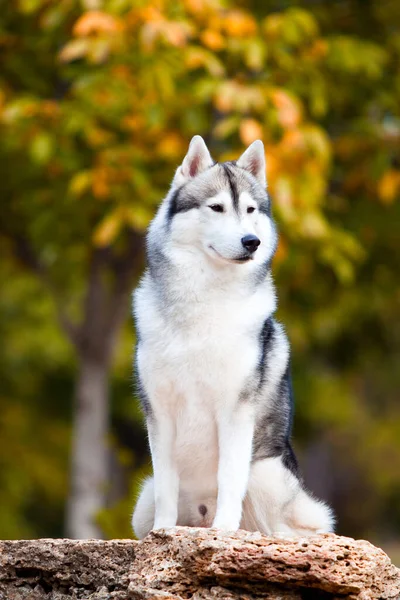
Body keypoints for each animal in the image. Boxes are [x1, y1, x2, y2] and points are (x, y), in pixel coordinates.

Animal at [132, 137, 334, 540]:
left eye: (251, 210)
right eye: (217, 207)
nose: (251, 241)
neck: (203, 300)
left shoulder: (235, 411)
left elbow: (229, 478)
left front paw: (224, 531)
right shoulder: (159, 415)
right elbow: (166, 487)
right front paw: (163, 534)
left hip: (267, 472)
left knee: (296, 527)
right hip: (142, 502)